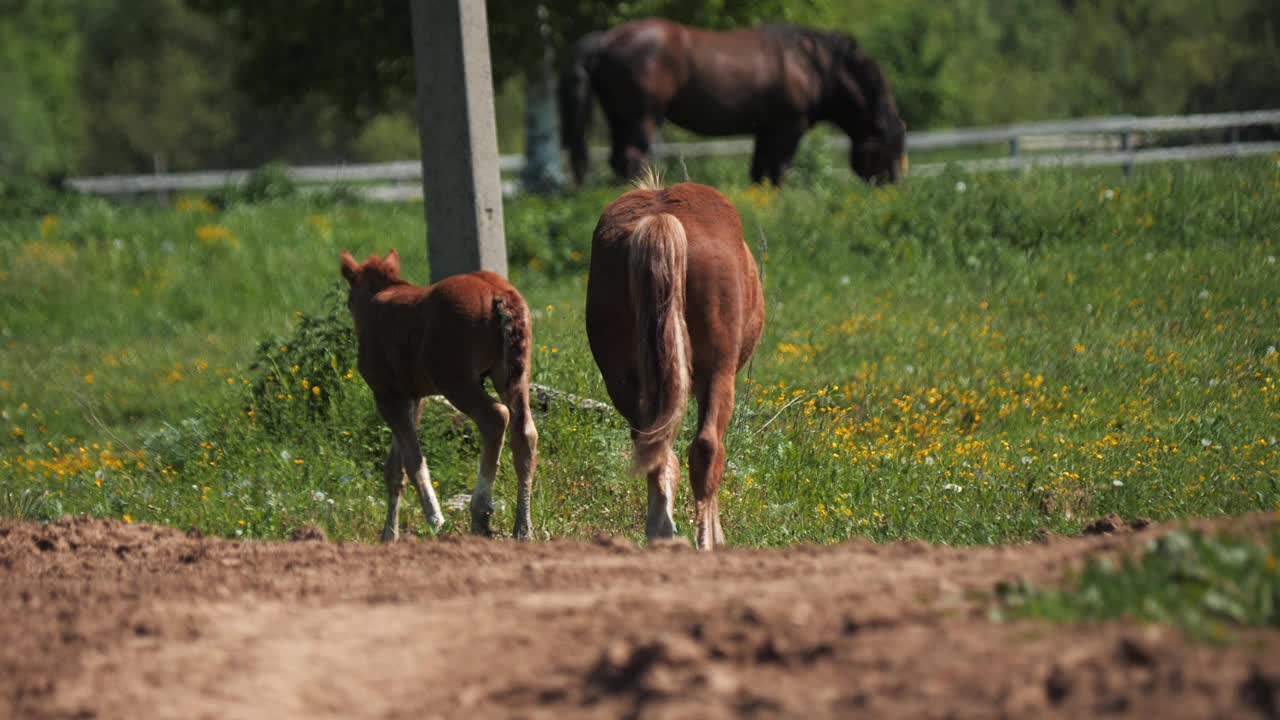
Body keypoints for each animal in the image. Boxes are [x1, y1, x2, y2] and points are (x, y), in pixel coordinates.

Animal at [337, 249, 537, 540]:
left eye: (349, 302)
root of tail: (498, 292)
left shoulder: (386, 395)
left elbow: (413, 461)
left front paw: (435, 520)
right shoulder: (412, 397)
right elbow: (395, 467)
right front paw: (389, 534)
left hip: (456, 381)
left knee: (496, 417)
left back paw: (481, 512)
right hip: (513, 374)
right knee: (525, 433)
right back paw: (523, 527)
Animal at [560, 19, 911, 188]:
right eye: (890, 146)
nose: (893, 186)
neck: (812, 64)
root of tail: (606, 39)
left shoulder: (766, 129)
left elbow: (760, 172)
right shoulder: (789, 126)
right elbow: (778, 170)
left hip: (619, 117)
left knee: (619, 161)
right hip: (641, 118)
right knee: (632, 158)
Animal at [586, 176, 757, 545]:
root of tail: (659, 219)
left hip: (624, 383)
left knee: (655, 449)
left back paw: (660, 531)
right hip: (718, 374)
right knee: (707, 449)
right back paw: (706, 542)